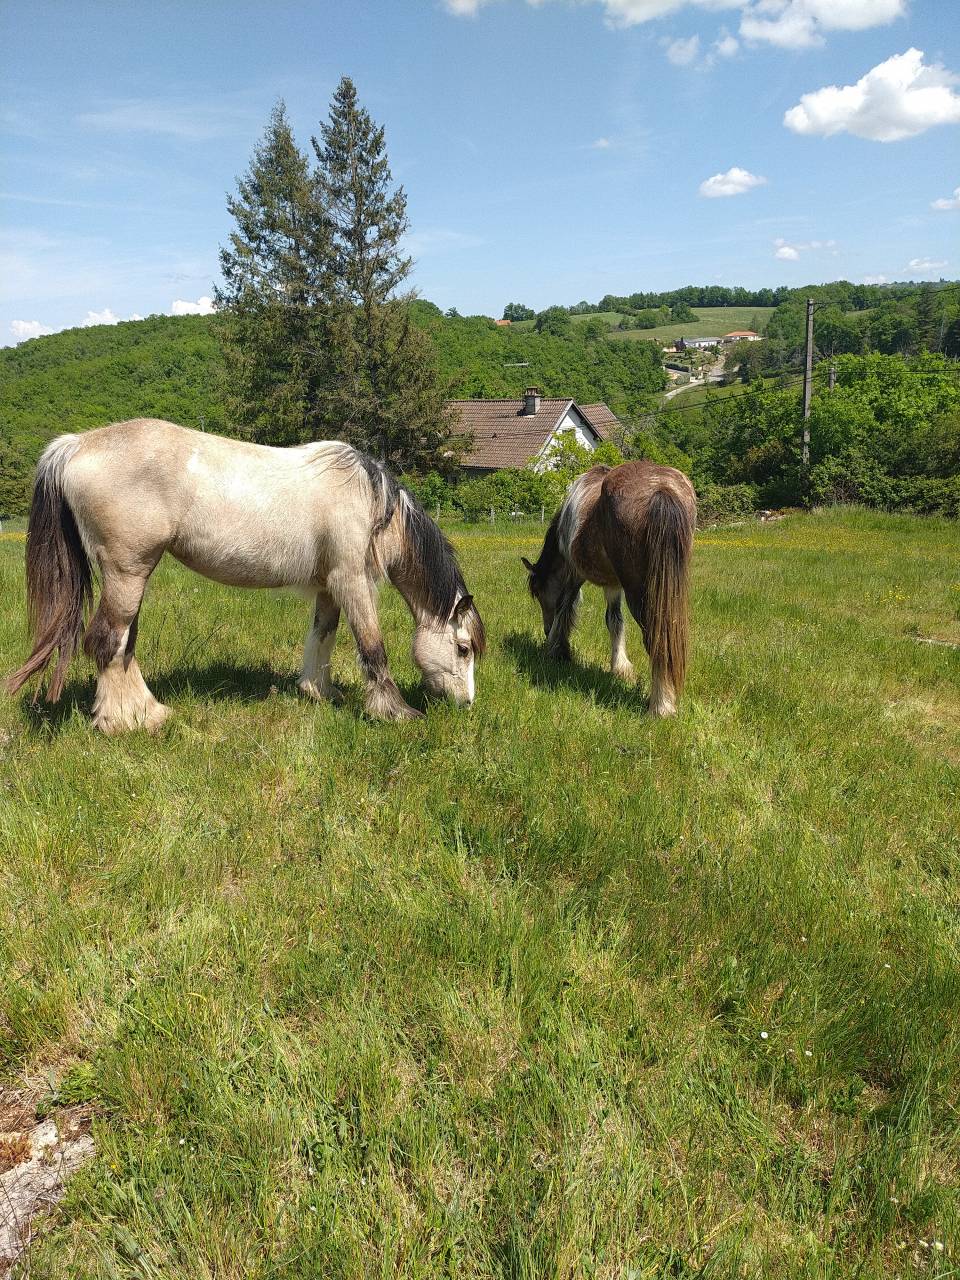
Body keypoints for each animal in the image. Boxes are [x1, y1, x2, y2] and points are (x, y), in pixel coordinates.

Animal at [8, 418, 486, 731]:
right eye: (463, 649)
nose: (466, 704)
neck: (369, 502)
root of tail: (74, 444)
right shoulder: (353, 581)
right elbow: (373, 648)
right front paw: (395, 712)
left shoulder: (330, 586)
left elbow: (323, 637)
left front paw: (318, 691)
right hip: (128, 572)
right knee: (107, 642)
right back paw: (130, 721)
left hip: (132, 576)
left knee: (123, 644)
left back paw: (145, 711)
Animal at [521, 461, 696, 716]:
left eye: (539, 594)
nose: (545, 629)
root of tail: (661, 489)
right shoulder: (613, 584)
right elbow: (615, 621)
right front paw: (620, 667)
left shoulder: (574, 573)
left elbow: (565, 607)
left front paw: (555, 648)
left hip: (640, 594)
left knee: (655, 640)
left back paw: (661, 706)